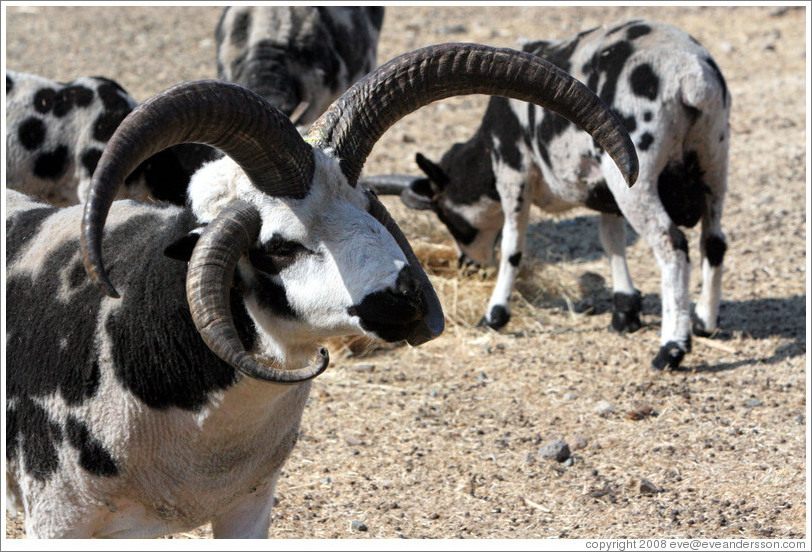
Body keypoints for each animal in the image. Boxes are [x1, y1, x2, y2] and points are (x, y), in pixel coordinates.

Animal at [362, 20, 730, 370]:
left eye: (448, 218)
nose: (467, 268)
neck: (486, 151)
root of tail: (689, 76)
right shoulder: (604, 186)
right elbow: (611, 239)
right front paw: (625, 311)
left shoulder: (514, 171)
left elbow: (512, 246)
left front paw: (495, 314)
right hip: (713, 160)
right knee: (714, 242)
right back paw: (704, 322)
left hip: (641, 178)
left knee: (673, 246)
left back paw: (672, 348)